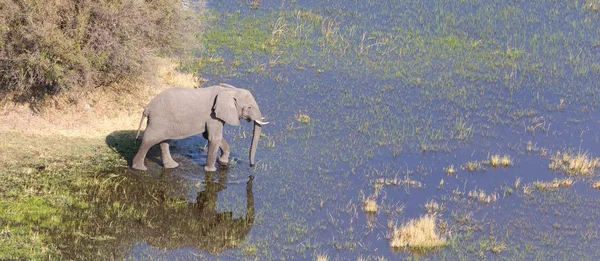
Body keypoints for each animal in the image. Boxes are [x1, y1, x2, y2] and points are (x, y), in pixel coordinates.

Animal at [134, 83, 270, 172]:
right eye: (249, 107)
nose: (251, 166)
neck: (229, 91)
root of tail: (147, 108)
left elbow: (209, 136)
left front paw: (223, 162)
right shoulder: (213, 116)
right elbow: (214, 138)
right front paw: (211, 170)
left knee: (164, 141)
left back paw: (173, 166)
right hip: (159, 120)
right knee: (150, 139)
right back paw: (139, 168)